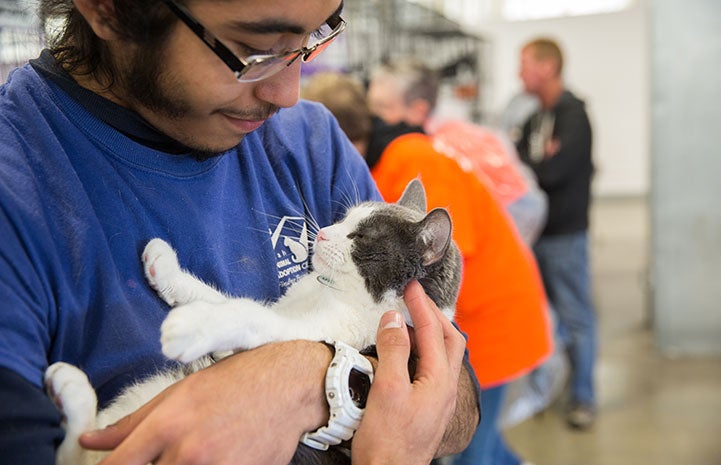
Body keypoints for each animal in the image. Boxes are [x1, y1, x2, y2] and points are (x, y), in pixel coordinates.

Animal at [45, 179, 462, 464]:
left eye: (360, 237)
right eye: (344, 219)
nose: (323, 234)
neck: (338, 294)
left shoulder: (314, 330)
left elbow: (249, 314)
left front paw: (191, 327)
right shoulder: (285, 308)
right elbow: (224, 300)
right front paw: (167, 271)